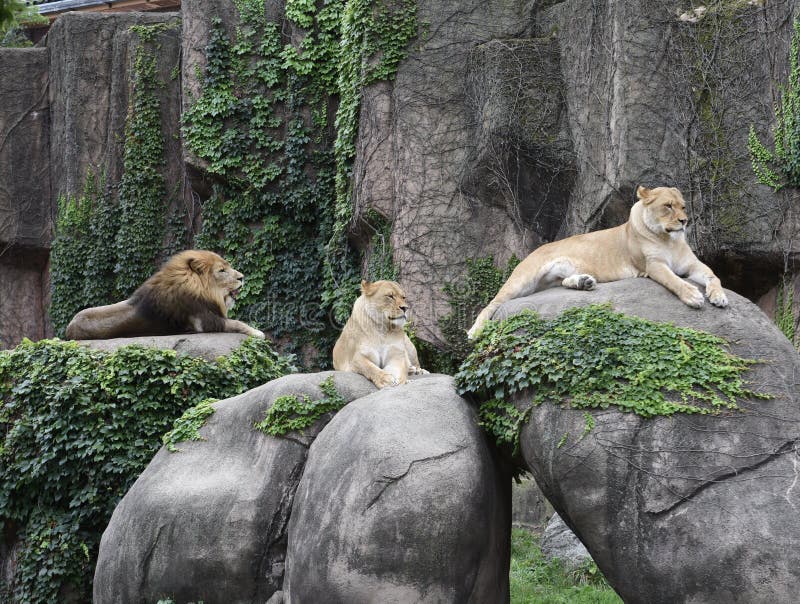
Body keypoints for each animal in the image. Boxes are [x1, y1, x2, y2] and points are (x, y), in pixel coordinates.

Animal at [65, 249, 266, 340]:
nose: (242, 277)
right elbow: (237, 322)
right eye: (222, 270)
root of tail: (68, 328)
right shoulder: (204, 322)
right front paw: (257, 332)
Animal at [468, 184, 732, 338]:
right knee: (492, 304)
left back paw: (583, 282)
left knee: (561, 283)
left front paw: (718, 296)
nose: (685, 221)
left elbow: (713, 275)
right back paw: (474, 330)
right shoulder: (653, 266)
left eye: (684, 207)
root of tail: (534, 251)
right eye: (668, 206)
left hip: (550, 280)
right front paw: (693, 296)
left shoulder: (691, 264)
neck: (669, 240)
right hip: (522, 280)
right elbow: (674, 280)